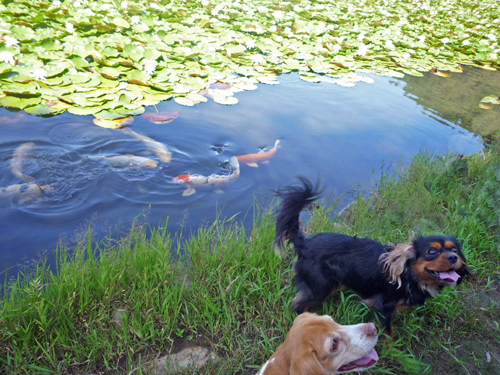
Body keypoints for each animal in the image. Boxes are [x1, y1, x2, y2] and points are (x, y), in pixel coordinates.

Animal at [272, 178, 470, 336]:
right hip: (320, 286)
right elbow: (389, 333)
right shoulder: (384, 307)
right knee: (297, 305)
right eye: (432, 252)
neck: (408, 275)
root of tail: (304, 243)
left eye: (454, 250)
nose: (453, 258)